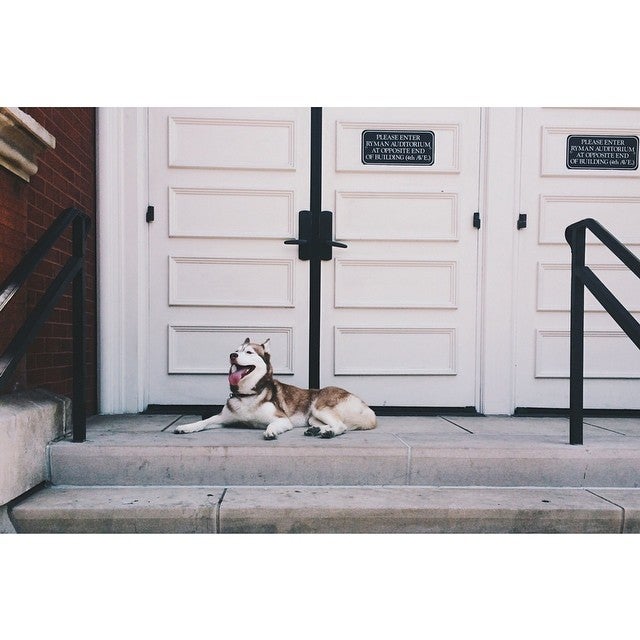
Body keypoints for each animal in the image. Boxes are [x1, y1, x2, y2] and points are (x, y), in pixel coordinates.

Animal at [172, 340, 378, 440]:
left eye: (249, 352)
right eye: (236, 350)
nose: (232, 355)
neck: (248, 395)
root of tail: (366, 406)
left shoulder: (282, 419)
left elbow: (272, 425)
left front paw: (270, 432)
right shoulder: (223, 419)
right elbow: (204, 421)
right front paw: (186, 427)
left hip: (320, 406)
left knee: (342, 426)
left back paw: (328, 433)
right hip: (312, 417)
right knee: (335, 425)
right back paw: (317, 431)